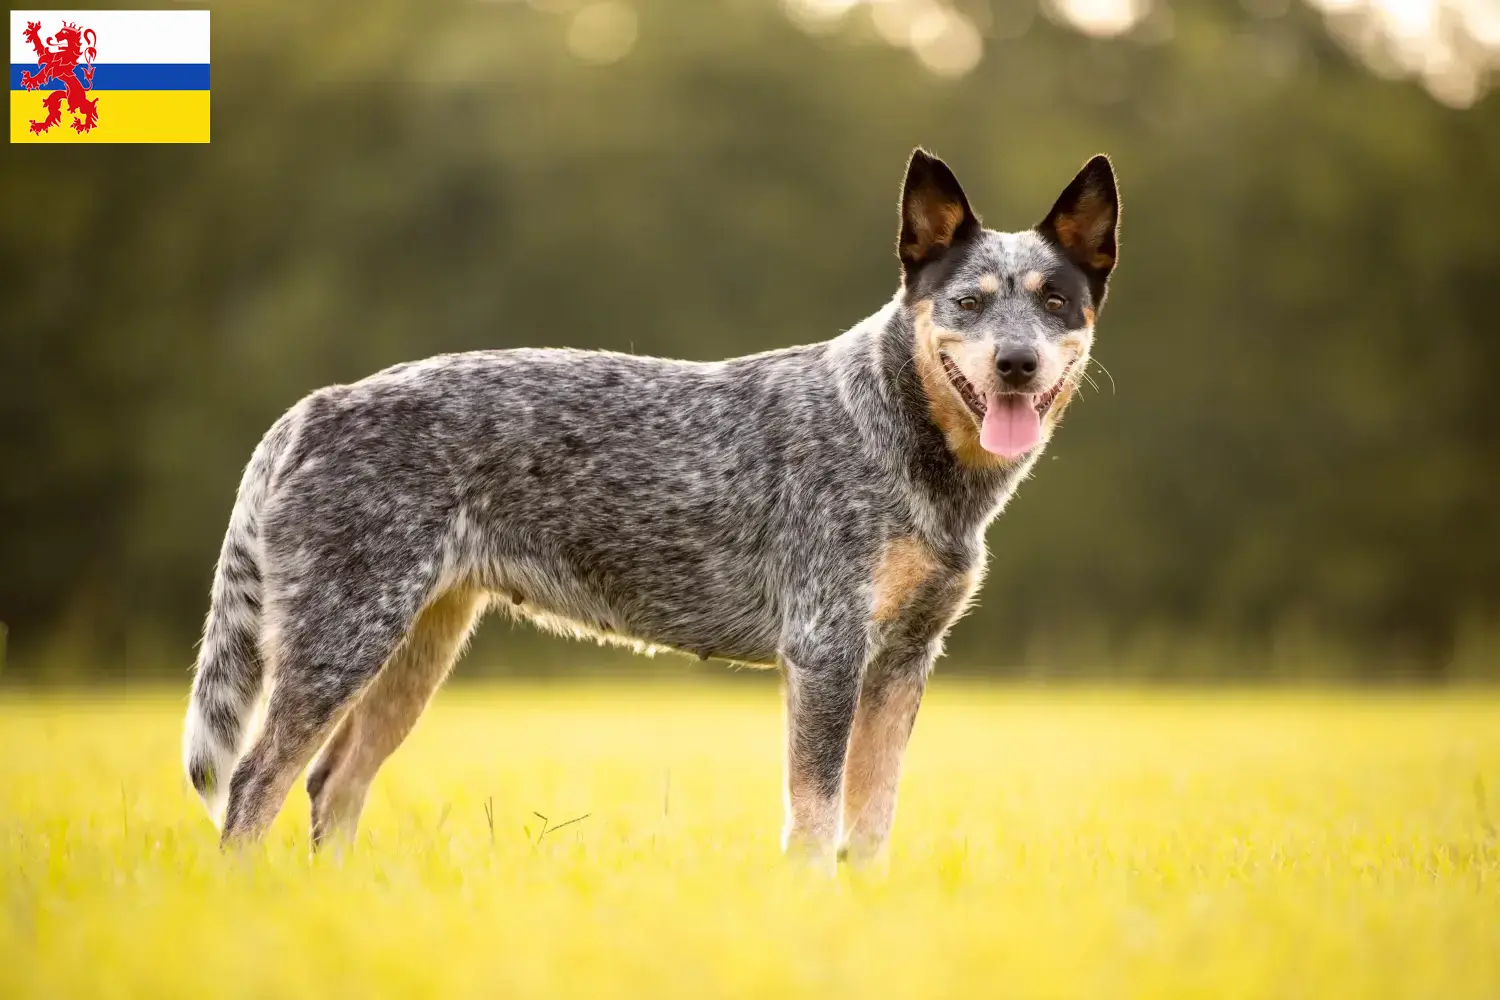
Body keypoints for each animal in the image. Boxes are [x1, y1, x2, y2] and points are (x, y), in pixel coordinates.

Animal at [184, 150, 1116, 869]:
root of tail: (314, 408)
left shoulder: (904, 662)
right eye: (969, 302)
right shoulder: (826, 650)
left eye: (1055, 302)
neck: (893, 431)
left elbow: (872, 820)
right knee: (254, 784)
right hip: (342, 642)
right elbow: (816, 815)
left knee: (331, 784)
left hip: (415, 650)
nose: (1018, 362)